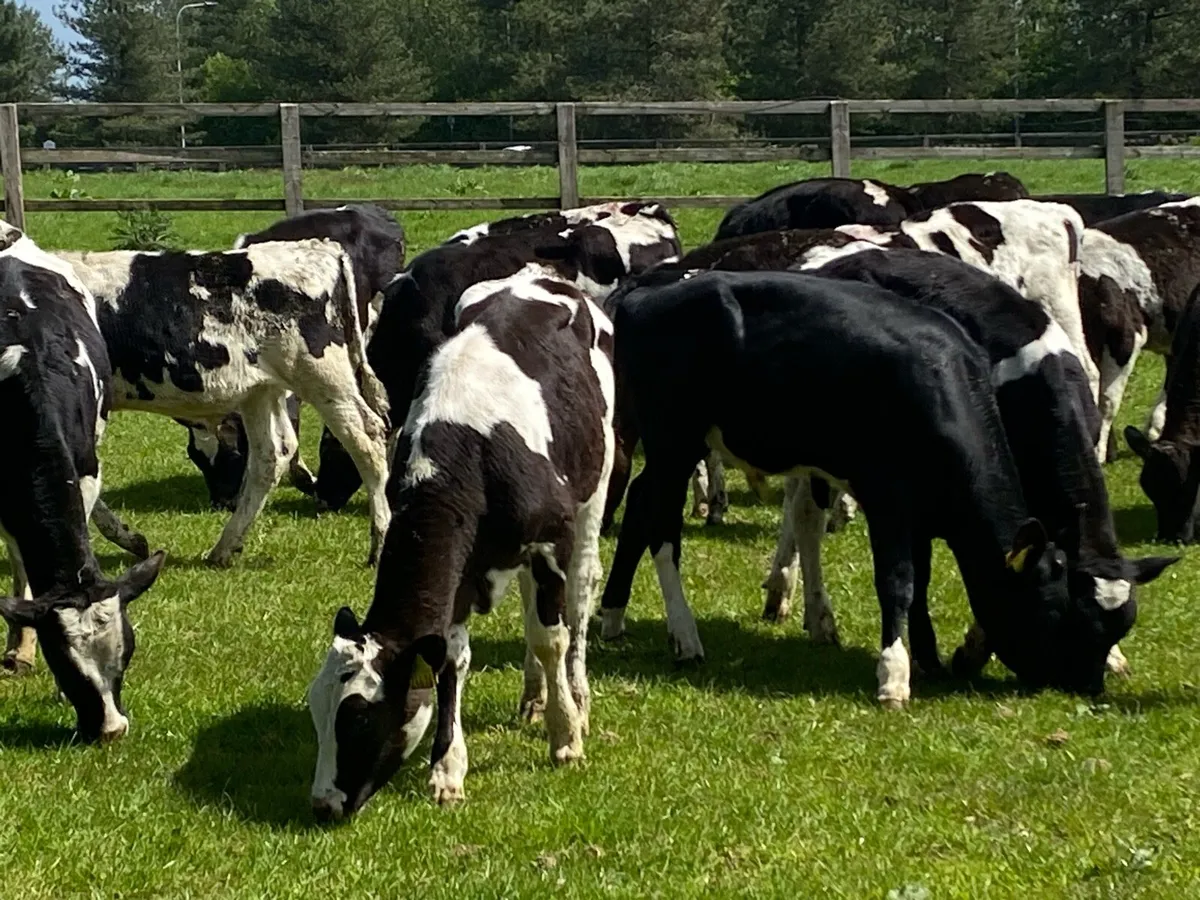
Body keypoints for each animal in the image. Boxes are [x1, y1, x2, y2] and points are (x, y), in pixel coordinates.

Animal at [56, 240, 391, 567]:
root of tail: (321, 248)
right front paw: (128, 538)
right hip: (262, 390)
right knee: (273, 454)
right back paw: (225, 547)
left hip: (322, 378)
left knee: (367, 441)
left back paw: (379, 543)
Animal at [307, 269, 614, 818]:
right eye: (315, 710)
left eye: (357, 718)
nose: (323, 804)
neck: (471, 453)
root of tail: (540, 275)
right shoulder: (458, 578)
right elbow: (451, 659)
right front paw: (447, 770)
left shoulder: (550, 540)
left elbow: (551, 638)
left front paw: (565, 737)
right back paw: (533, 697)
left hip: (592, 497)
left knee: (577, 603)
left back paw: (575, 698)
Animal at [601, 269, 1140, 704]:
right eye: (1053, 611)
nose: (1089, 685)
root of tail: (649, 291)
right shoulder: (888, 499)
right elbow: (898, 582)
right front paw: (894, 673)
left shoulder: (922, 514)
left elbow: (921, 581)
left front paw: (928, 657)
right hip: (674, 443)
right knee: (662, 528)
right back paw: (685, 635)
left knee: (640, 503)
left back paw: (613, 613)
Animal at [759, 249, 1174, 680]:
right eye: (1071, 623)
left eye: (1116, 627)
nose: (1084, 684)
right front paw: (963, 651)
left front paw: (1115, 659)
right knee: (806, 520)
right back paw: (815, 615)